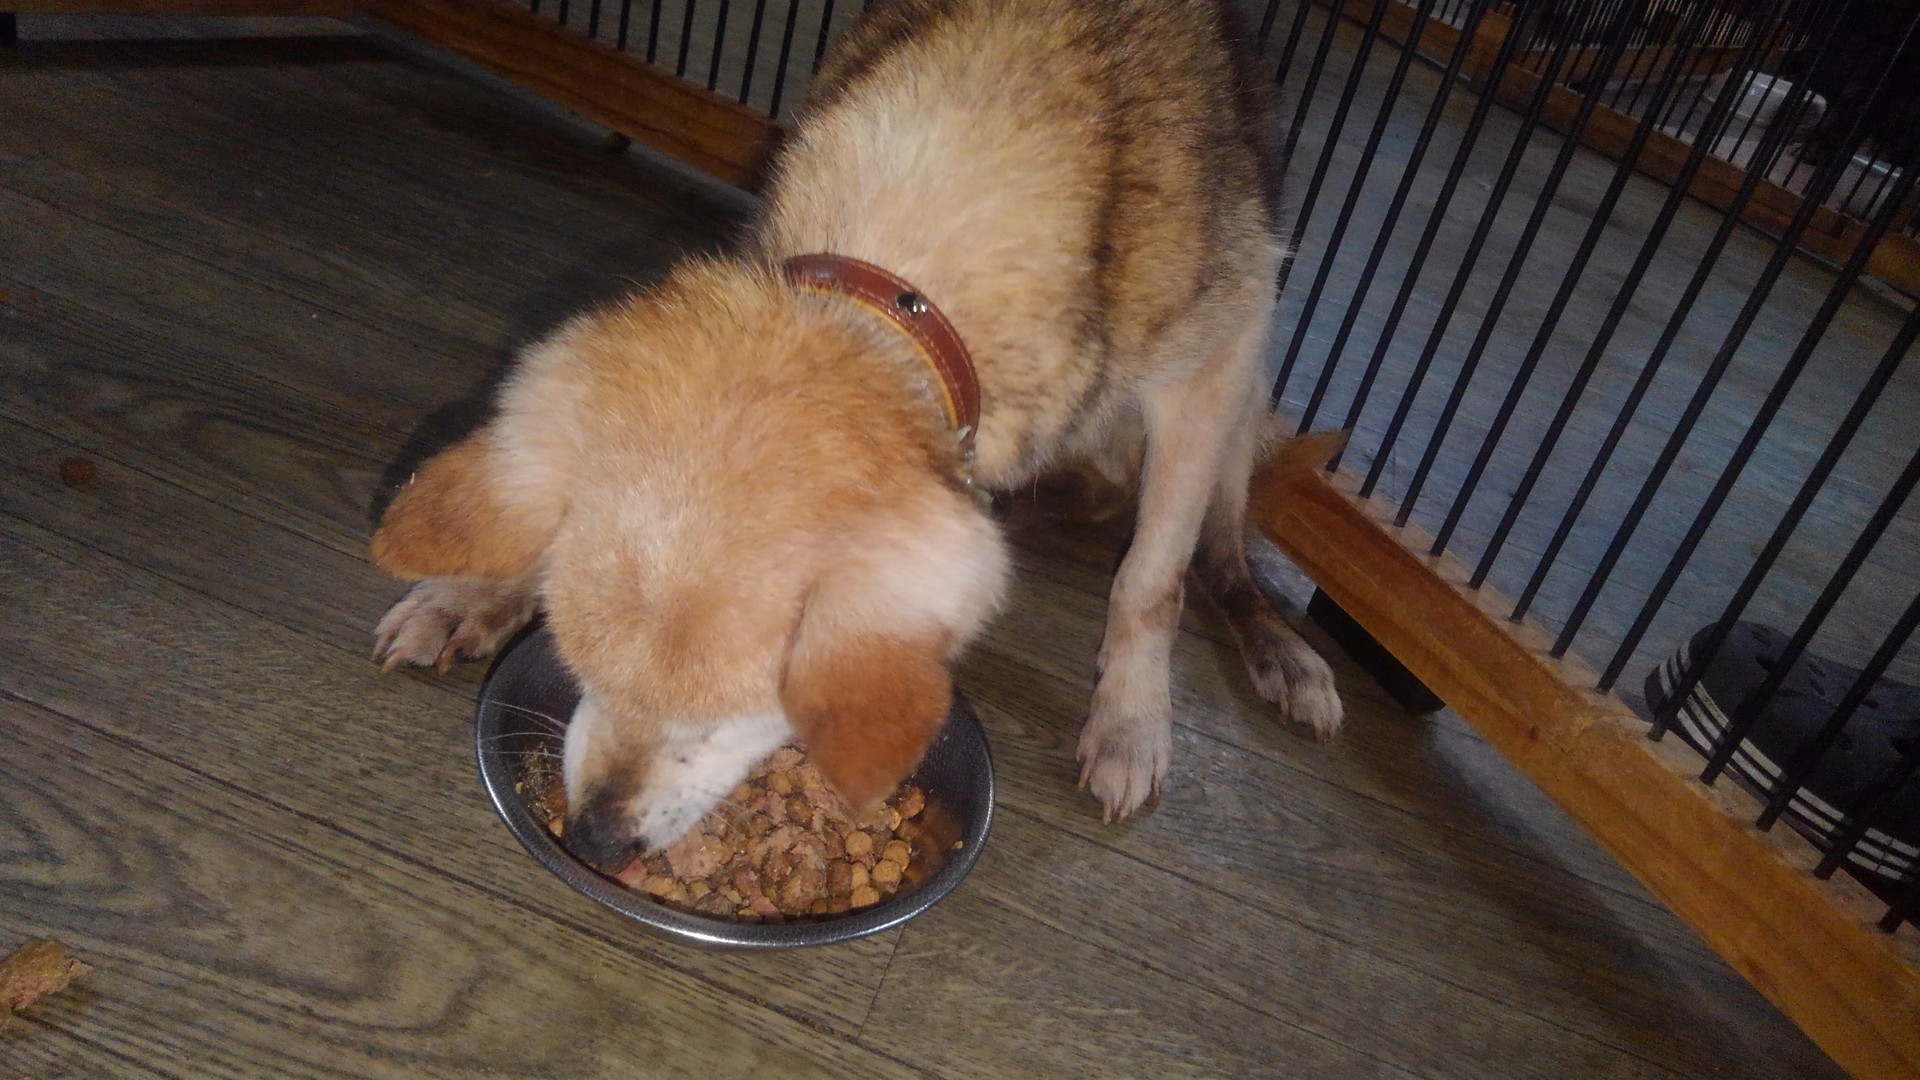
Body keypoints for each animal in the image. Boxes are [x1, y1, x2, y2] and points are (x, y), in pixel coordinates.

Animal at [369, 0, 1341, 869]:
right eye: (578, 669)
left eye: (729, 717)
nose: (597, 842)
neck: (897, 295)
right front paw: (470, 596)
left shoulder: (1213, 361)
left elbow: (1150, 581)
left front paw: (1132, 724)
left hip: (1250, 390)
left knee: (1216, 545)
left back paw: (1282, 654)